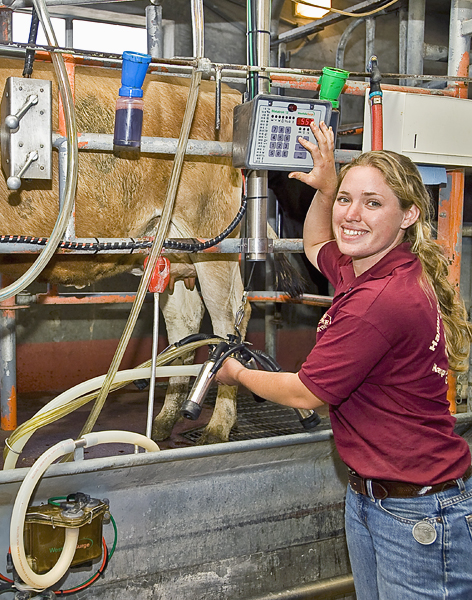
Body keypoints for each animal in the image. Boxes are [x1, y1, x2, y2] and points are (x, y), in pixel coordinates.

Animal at [0, 56, 251, 446]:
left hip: (215, 238)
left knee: (228, 322)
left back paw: (216, 427)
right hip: (171, 251)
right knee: (184, 322)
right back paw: (162, 421)